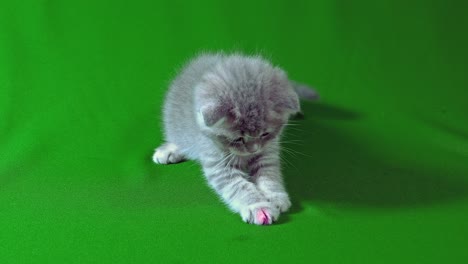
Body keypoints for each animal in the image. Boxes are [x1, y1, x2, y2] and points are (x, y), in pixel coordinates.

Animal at [152, 53, 316, 225]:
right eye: (238, 139)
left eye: (265, 134)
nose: (254, 149)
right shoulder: (219, 164)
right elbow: (239, 187)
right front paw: (258, 207)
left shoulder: (268, 152)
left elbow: (269, 175)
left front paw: (275, 197)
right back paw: (170, 150)